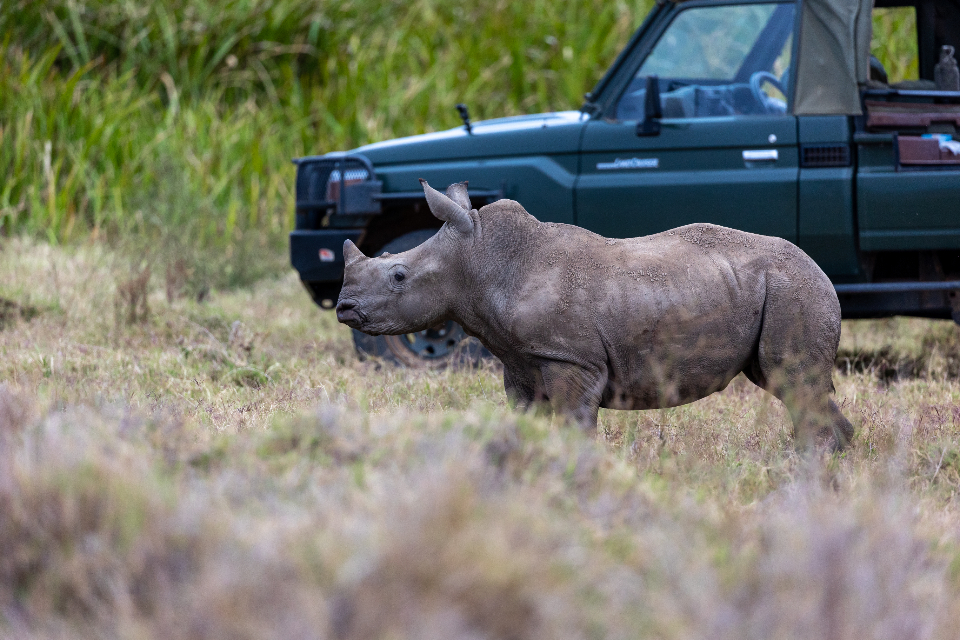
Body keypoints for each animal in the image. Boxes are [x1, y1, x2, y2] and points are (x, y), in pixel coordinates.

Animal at [336, 180, 854, 451]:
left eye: (399, 276)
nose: (343, 308)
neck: (482, 259)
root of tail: (823, 272)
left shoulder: (570, 359)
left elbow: (575, 427)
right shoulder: (520, 361)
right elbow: (529, 422)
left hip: (793, 288)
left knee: (795, 382)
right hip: (781, 288)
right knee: (791, 386)